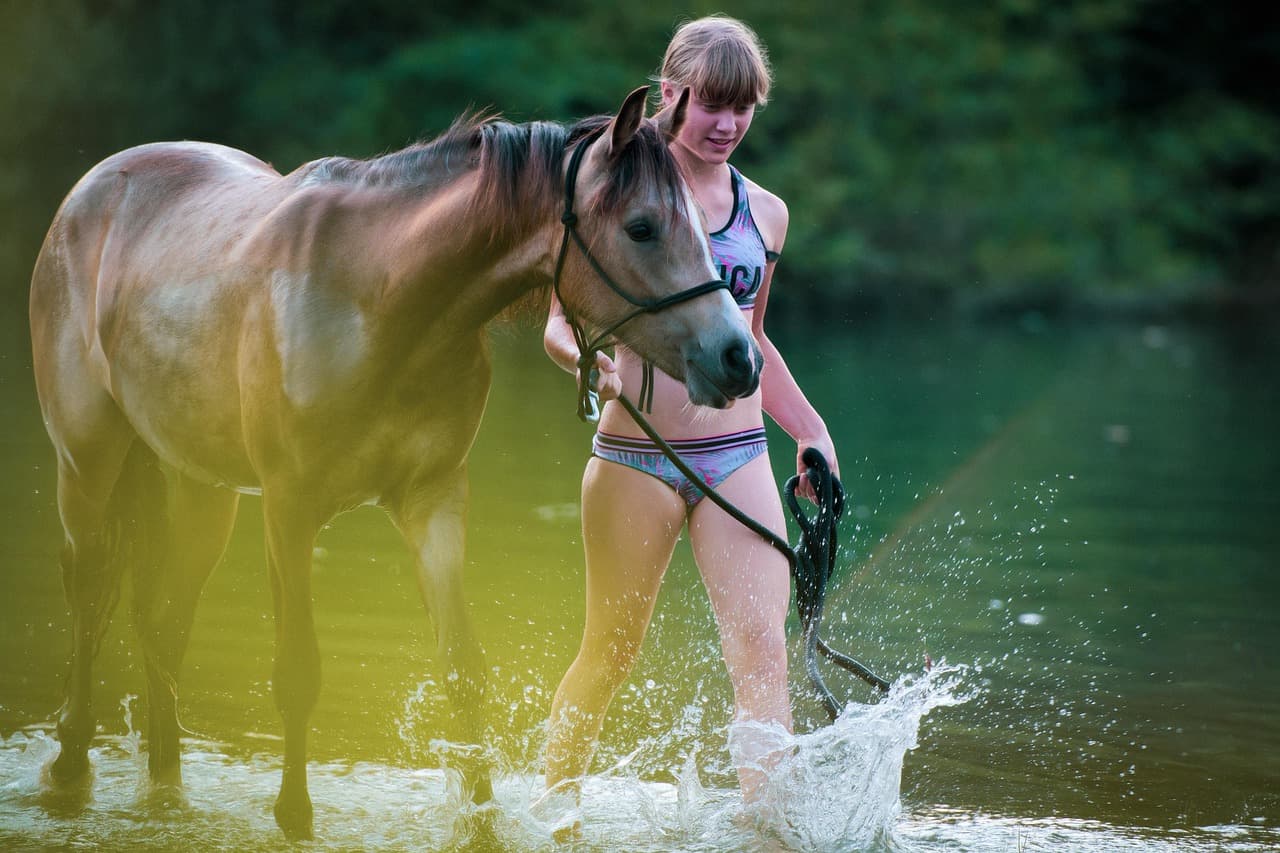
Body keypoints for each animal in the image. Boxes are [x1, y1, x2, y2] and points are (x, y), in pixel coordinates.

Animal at [28, 85, 761, 839]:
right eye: (642, 227)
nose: (738, 357)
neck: (383, 298)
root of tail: (92, 189)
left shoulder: (432, 502)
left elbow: (464, 672)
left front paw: (483, 825)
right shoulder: (289, 511)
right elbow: (298, 671)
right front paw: (295, 818)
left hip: (202, 489)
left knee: (164, 622)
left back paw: (167, 788)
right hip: (87, 462)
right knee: (89, 587)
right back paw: (70, 766)